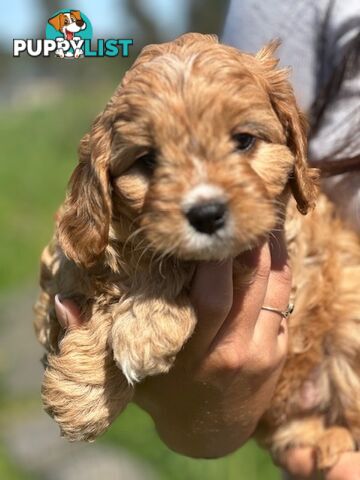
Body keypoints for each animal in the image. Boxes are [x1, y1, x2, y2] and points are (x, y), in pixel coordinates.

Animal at [33, 32, 360, 468]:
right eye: (148, 160)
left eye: (243, 141)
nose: (206, 214)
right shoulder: (62, 272)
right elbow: (91, 276)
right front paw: (82, 396)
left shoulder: (277, 237)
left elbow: (179, 262)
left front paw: (146, 324)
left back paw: (332, 440)